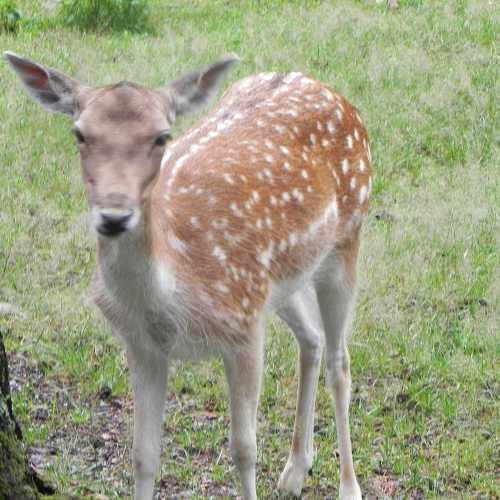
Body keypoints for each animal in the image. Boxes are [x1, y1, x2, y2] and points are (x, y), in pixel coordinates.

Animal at [3, 51, 372, 500]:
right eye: (79, 133)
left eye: (162, 136)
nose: (114, 216)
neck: (169, 290)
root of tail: (327, 89)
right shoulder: (142, 343)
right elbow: (143, 455)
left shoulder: (243, 327)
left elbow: (244, 449)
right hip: (283, 278)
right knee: (312, 339)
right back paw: (295, 471)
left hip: (348, 235)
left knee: (341, 361)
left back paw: (348, 486)